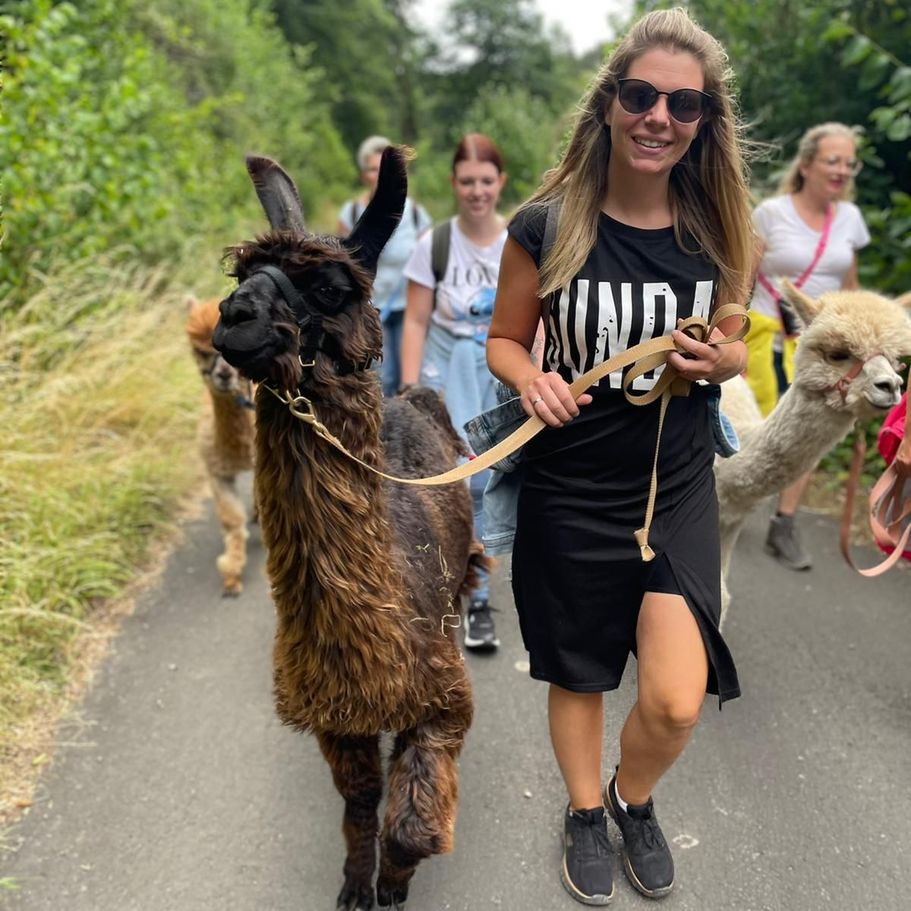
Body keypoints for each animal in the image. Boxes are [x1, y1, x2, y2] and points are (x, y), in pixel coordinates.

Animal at [212, 146, 486, 910]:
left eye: (331, 286)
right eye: (239, 275)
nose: (232, 318)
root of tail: (409, 394)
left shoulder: (444, 701)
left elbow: (413, 822)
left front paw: (393, 882)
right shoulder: (337, 715)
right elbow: (361, 803)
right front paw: (355, 883)